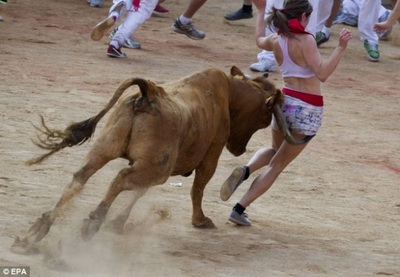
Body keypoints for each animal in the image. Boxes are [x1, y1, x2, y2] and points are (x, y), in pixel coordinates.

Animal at [12, 66, 296, 249]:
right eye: (265, 118)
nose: (239, 149)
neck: (229, 93)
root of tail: (148, 92)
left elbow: (140, 193)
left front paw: (118, 223)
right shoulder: (210, 156)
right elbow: (198, 188)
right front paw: (200, 221)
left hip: (106, 149)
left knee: (81, 178)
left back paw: (37, 231)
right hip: (156, 167)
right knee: (120, 179)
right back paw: (92, 221)